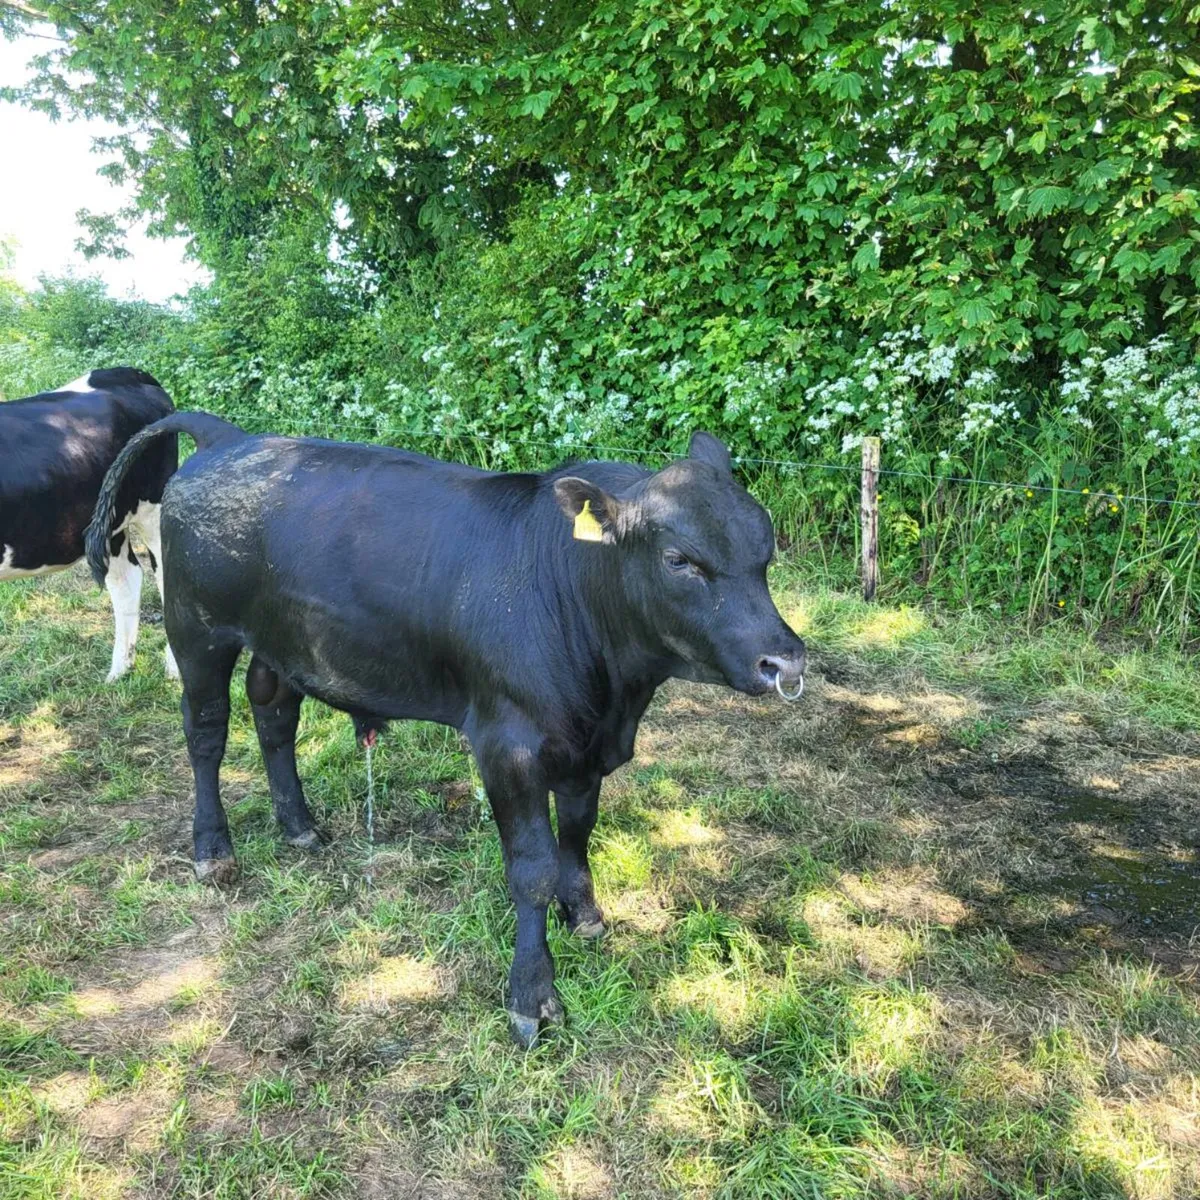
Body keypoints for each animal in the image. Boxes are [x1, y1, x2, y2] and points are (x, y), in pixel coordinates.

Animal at [1, 367, 178, 681]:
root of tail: (124, 374)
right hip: (111, 524)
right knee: (127, 580)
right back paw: (119, 672)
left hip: (153, 510)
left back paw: (173, 669)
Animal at [86, 414, 806, 1045]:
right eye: (681, 560)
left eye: (765, 550)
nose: (785, 660)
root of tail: (228, 436)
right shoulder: (506, 744)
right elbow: (532, 868)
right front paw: (532, 998)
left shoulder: (585, 745)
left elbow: (577, 834)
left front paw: (585, 914)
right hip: (197, 630)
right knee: (206, 732)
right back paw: (213, 850)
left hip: (285, 642)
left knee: (274, 716)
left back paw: (299, 824)